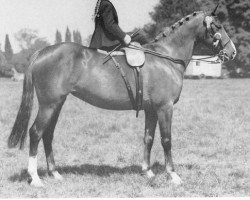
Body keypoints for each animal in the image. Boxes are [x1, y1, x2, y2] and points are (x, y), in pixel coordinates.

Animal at [7, 8, 236, 188]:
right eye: (217, 25)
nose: (232, 52)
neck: (166, 58)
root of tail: (42, 52)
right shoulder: (165, 108)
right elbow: (166, 140)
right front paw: (173, 175)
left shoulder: (151, 109)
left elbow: (148, 138)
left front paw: (147, 172)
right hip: (49, 104)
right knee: (36, 132)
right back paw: (35, 178)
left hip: (57, 104)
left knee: (48, 134)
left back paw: (55, 174)